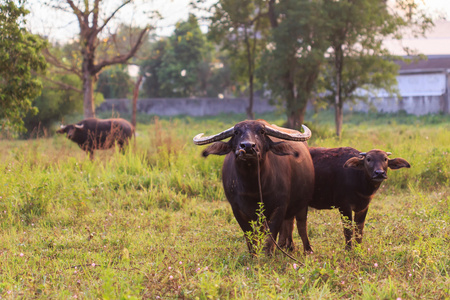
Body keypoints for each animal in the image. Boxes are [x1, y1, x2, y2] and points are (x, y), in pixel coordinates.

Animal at [193, 119, 316, 255]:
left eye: (262, 131)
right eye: (236, 132)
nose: (247, 146)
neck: (253, 187)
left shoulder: (280, 207)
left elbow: (271, 236)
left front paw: (267, 254)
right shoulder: (237, 209)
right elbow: (250, 236)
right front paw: (254, 255)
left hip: (302, 203)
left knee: (301, 225)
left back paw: (307, 250)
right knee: (287, 223)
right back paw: (286, 246)